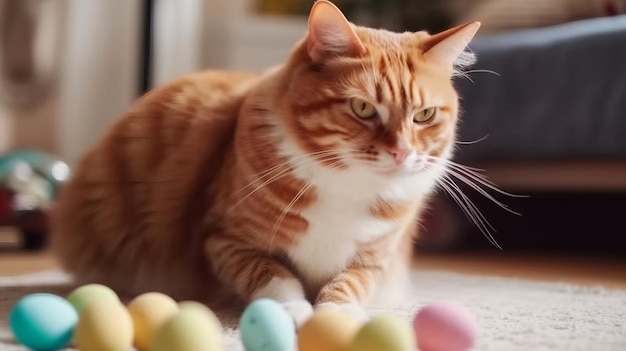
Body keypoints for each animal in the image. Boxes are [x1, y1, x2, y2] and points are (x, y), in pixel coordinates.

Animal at [50, 0, 478, 326]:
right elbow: (274, 277)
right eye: (362, 109)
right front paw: (293, 311)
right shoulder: (226, 240)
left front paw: (335, 315)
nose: (401, 152)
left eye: (424, 115)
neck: (346, 185)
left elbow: (348, 286)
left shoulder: (373, 261)